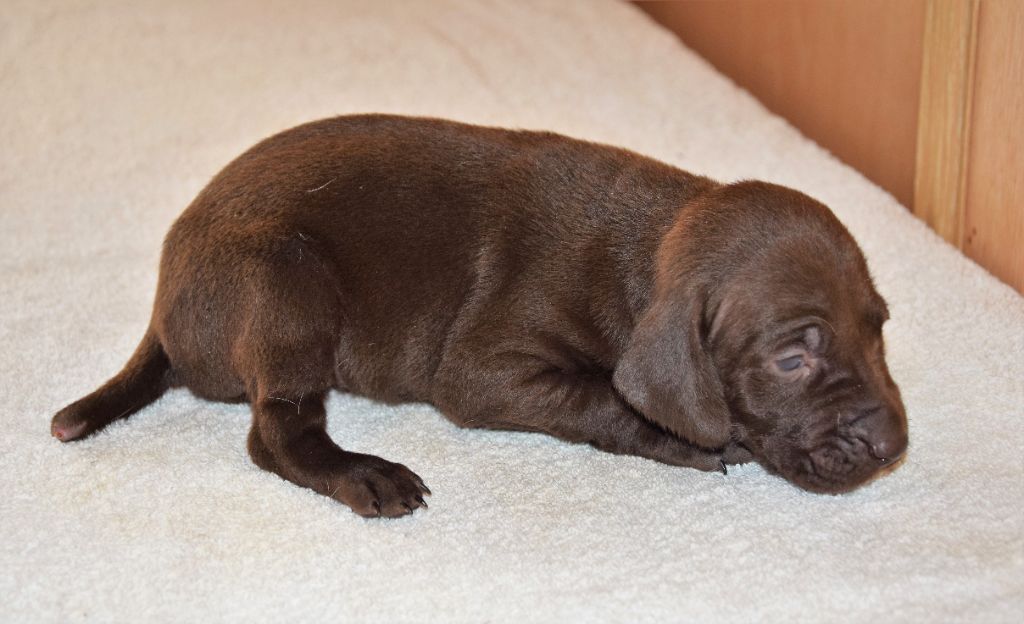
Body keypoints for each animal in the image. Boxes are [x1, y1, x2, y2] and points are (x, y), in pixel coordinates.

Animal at [51, 115, 908, 517]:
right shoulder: (483, 367)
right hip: (284, 281)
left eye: (878, 328)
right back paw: (362, 473)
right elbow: (599, 395)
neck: (655, 241)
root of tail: (163, 300)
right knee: (277, 435)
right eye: (793, 357)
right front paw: (682, 438)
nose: (892, 444)